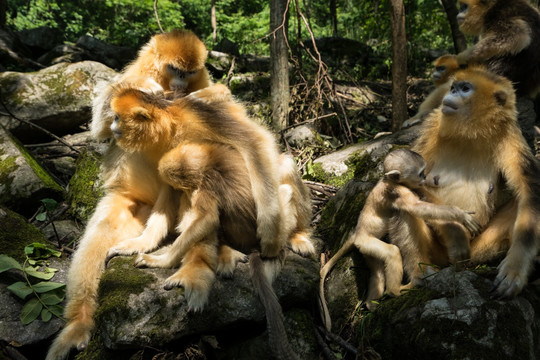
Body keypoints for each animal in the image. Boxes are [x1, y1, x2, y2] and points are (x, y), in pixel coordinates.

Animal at [107, 85, 310, 360]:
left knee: (282, 165)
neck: (171, 125)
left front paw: (269, 225)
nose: (111, 127)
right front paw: (143, 244)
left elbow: (255, 141)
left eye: (117, 117)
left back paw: (296, 234)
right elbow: (170, 192)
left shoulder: (198, 116)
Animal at [318, 148, 478, 330]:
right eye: (421, 173)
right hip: (367, 242)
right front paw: (461, 215)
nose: (425, 178)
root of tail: (357, 235)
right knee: (393, 251)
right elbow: (416, 208)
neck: (388, 180)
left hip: (366, 250)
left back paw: (372, 303)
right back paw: (396, 291)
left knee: (377, 273)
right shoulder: (397, 191)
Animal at [412, 67, 540, 298]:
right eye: (454, 87)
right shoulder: (434, 124)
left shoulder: (508, 135)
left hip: (478, 248)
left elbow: (530, 191)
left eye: (464, 88)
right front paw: (455, 230)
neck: (470, 134)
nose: (451, 92)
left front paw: (514, 271)